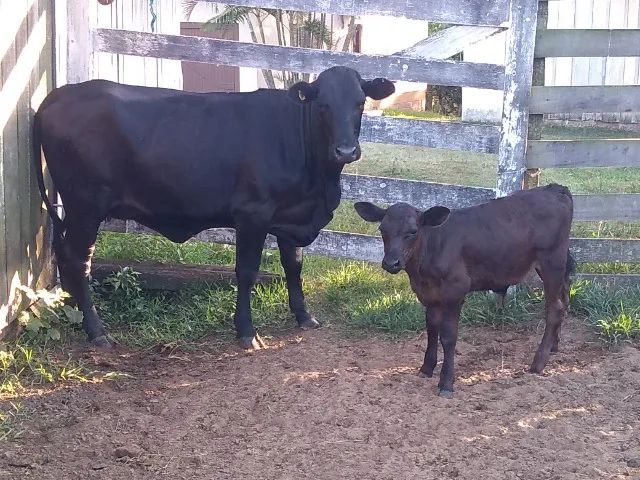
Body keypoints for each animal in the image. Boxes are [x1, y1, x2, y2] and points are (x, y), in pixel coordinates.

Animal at [33, 66, 395, 349]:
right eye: (323, 105)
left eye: (360, 103)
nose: (345, 150)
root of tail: (57, 96)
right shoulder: (252, 214)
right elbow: (246, 271)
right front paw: (246, 331)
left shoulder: (291, 217)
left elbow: (294, 266)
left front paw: (304, 316)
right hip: (86, 206)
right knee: (78, 260)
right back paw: (96, 331)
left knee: (64, 253)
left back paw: (75, 314)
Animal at [354, 184, 574, 397]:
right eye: (382, 229)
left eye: (413, 231)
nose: (391, 263)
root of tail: (554, 188)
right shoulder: (430, 295)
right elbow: (431, 329)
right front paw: (426, 368)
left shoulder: (455, 291)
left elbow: (448, 336)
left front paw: (446, 383)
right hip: (558, 268)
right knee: (564, 301)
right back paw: (554, 347)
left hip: (551, 262)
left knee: (555, 309)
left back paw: (538, 363)